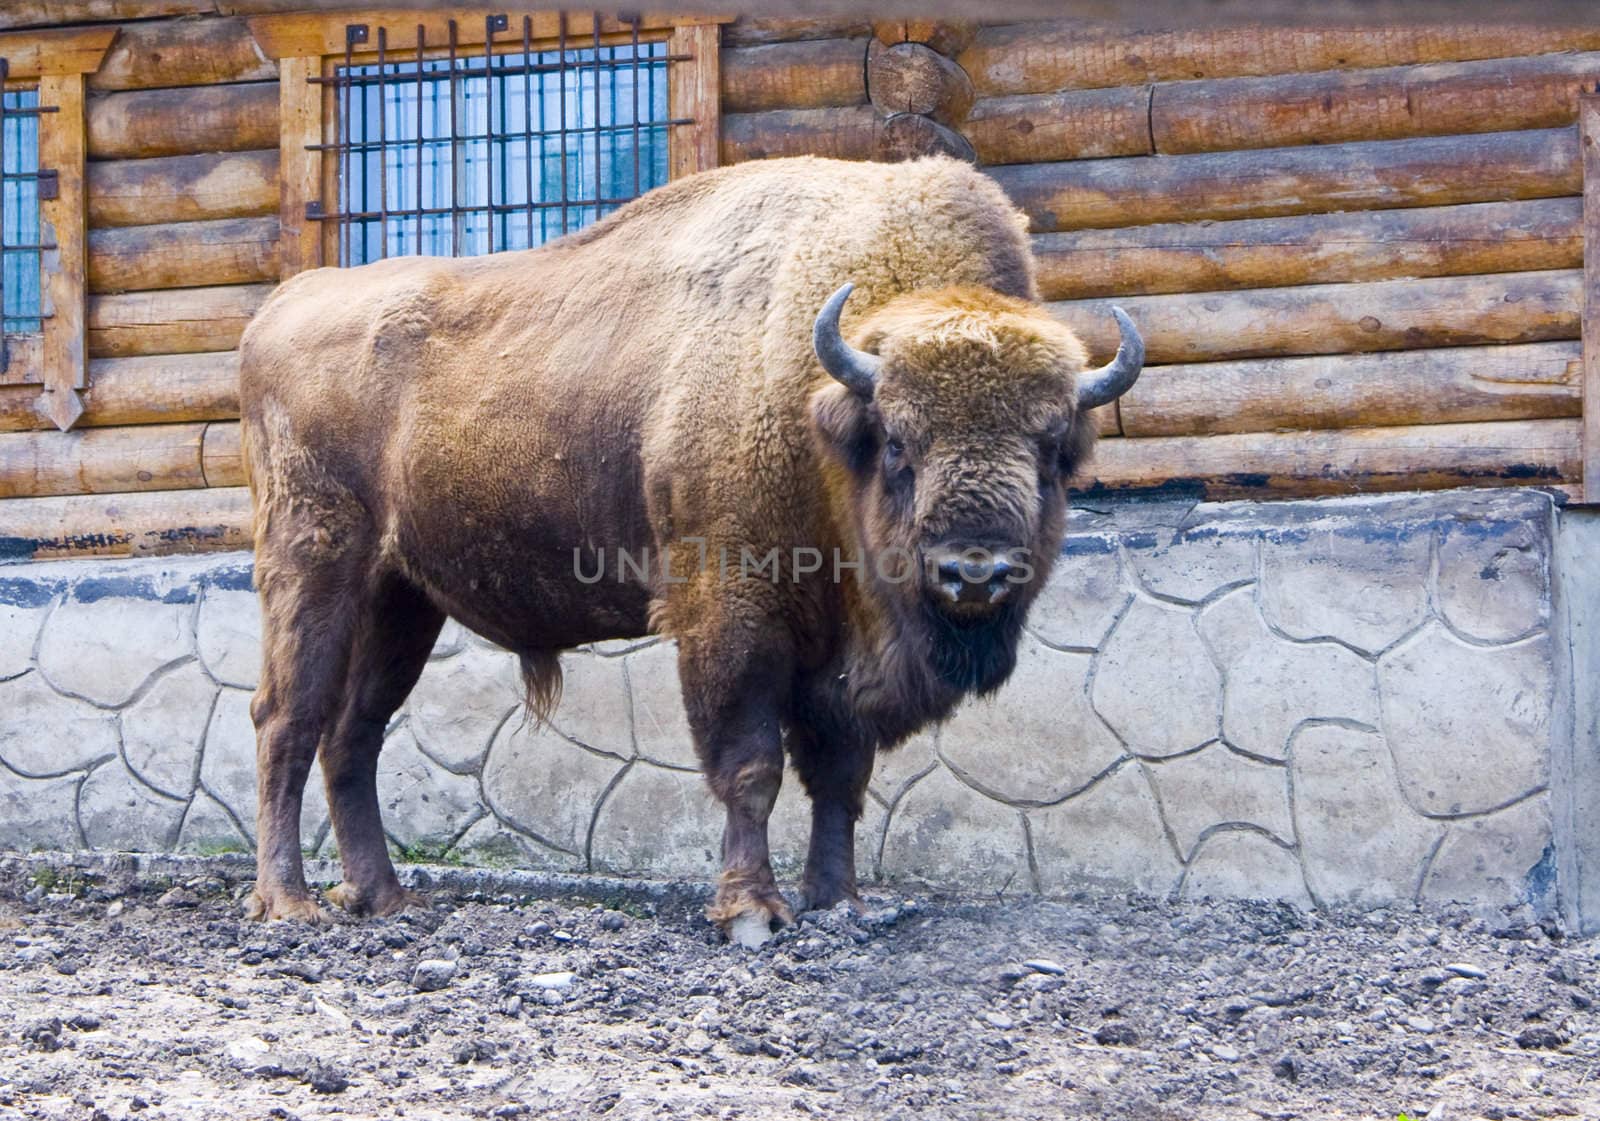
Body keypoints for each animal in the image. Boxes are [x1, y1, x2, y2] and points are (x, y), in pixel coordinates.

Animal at [233, 152, 1139, 940]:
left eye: (1052, 446)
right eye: (898, 442)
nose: (975, 572)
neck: (817, 403)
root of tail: (279, 307)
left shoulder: (838, 652)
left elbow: (840, 776)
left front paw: (837, 900)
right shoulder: (731, 613)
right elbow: (752, 766)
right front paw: (750, 911)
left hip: (401, 599)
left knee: (354, 731)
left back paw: (382, 897)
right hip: (313, 563)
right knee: (287, 717)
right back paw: (288, 903)